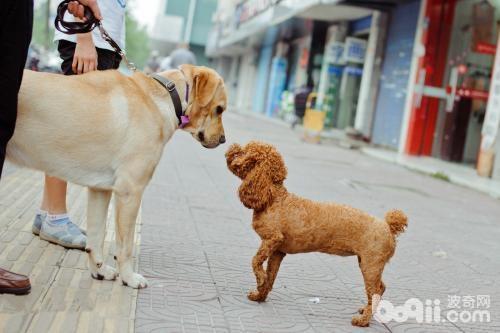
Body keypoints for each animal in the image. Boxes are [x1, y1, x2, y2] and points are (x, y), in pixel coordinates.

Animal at [8, 63, 227, 286]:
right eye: (219, 109)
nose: (224, 140)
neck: (165, 97)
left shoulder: (99, 189)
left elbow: (96, 236)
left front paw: (99, 270)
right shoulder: (130, 191)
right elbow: (125, 246)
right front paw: (129, 278)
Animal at [225, 141, 408, 326]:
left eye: (245, 152)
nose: (232, 149)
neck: (273, 198)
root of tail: (388, 227)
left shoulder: (272, 239)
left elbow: (255, 261)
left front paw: (260, 279)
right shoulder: (277, 251)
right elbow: (271, 276)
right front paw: (260, 295)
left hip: (370, 265)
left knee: (375, 290)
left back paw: (363, 320)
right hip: (367, 263)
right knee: (381, 288)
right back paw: (365, 311)